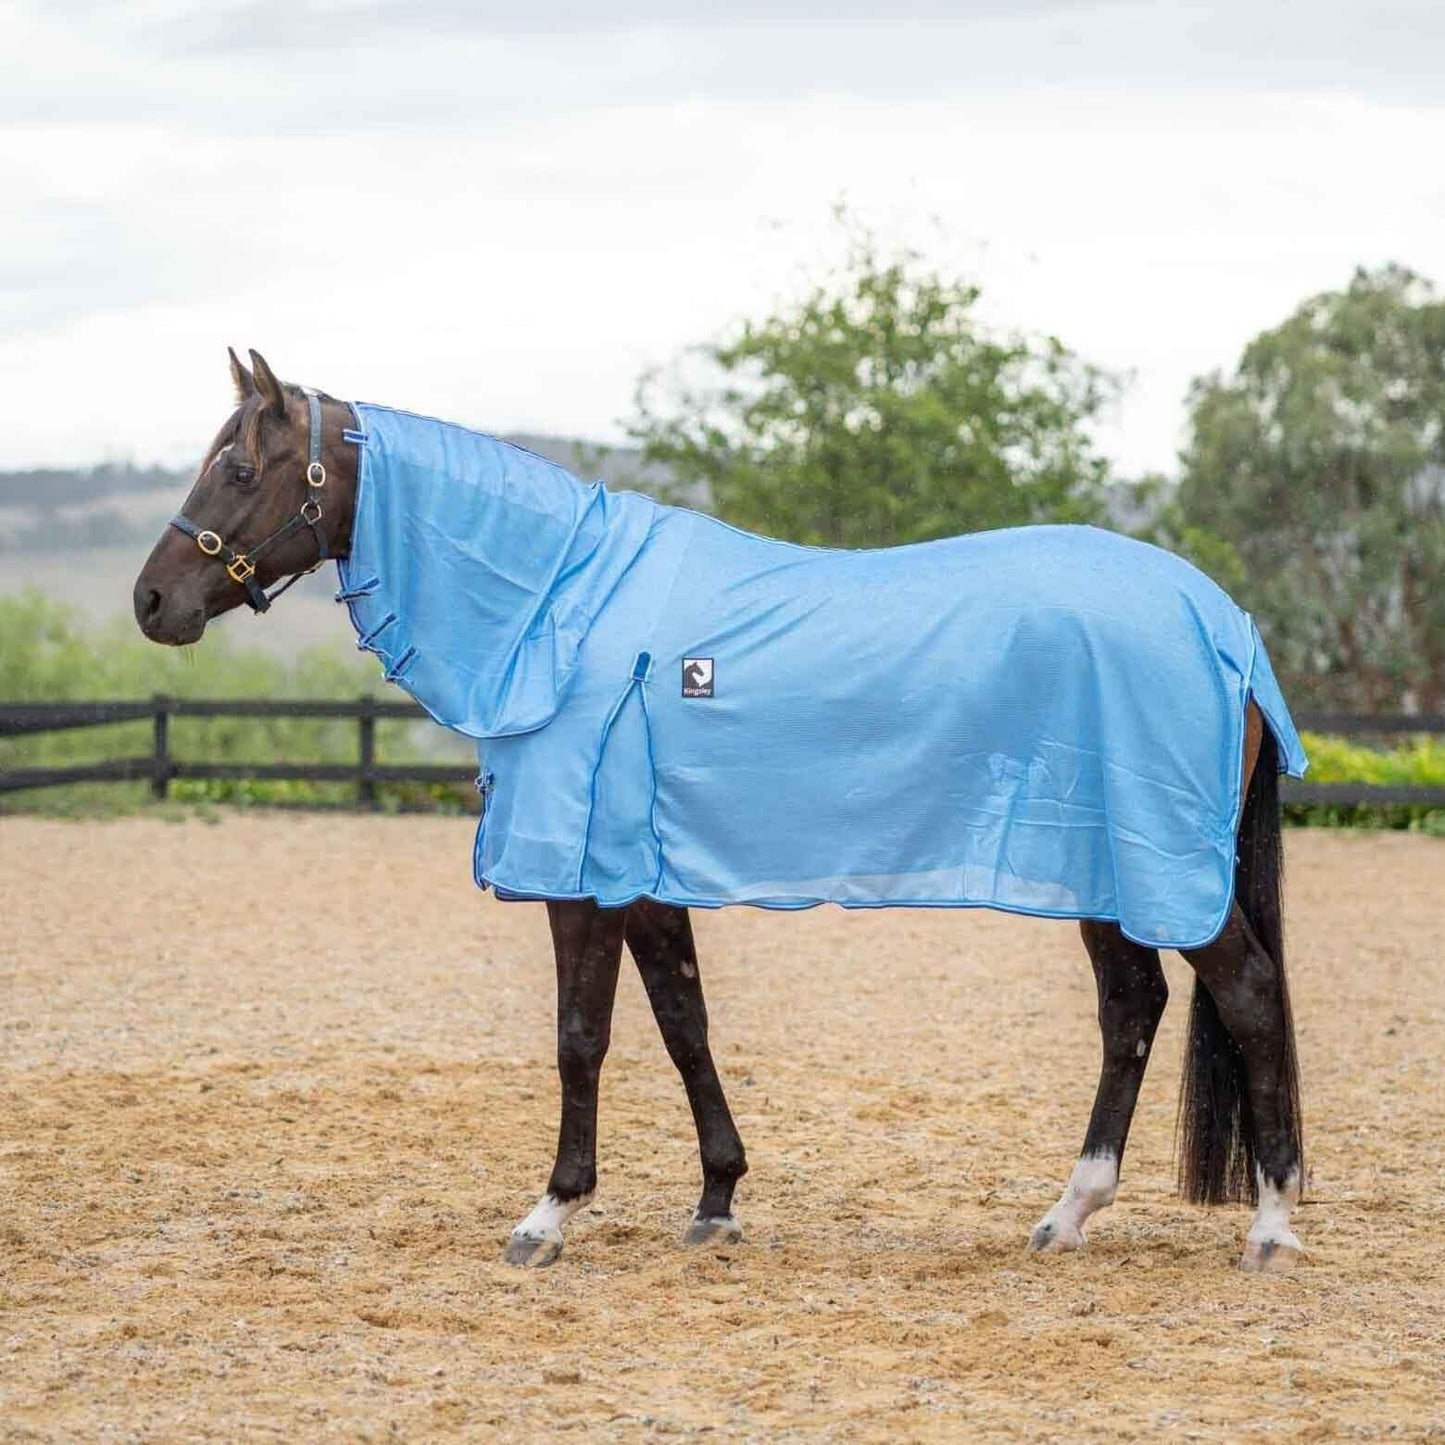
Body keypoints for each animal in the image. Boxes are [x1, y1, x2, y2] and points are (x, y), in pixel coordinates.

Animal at [133, 349, 1307, 1273]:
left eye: (239, 468)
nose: (152, 601)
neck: (562, 606)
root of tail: (1222, 623)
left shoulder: (579, 879)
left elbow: (581, 1036)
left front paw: (548, 1213)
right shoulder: (643, 877)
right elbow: (683, 1022)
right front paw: (716, 1200)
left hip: (1162, 870)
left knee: (1247, 993)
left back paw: (1271, 1224)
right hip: (1098, 867)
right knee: (1130, 1009)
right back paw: (1069, 1212)